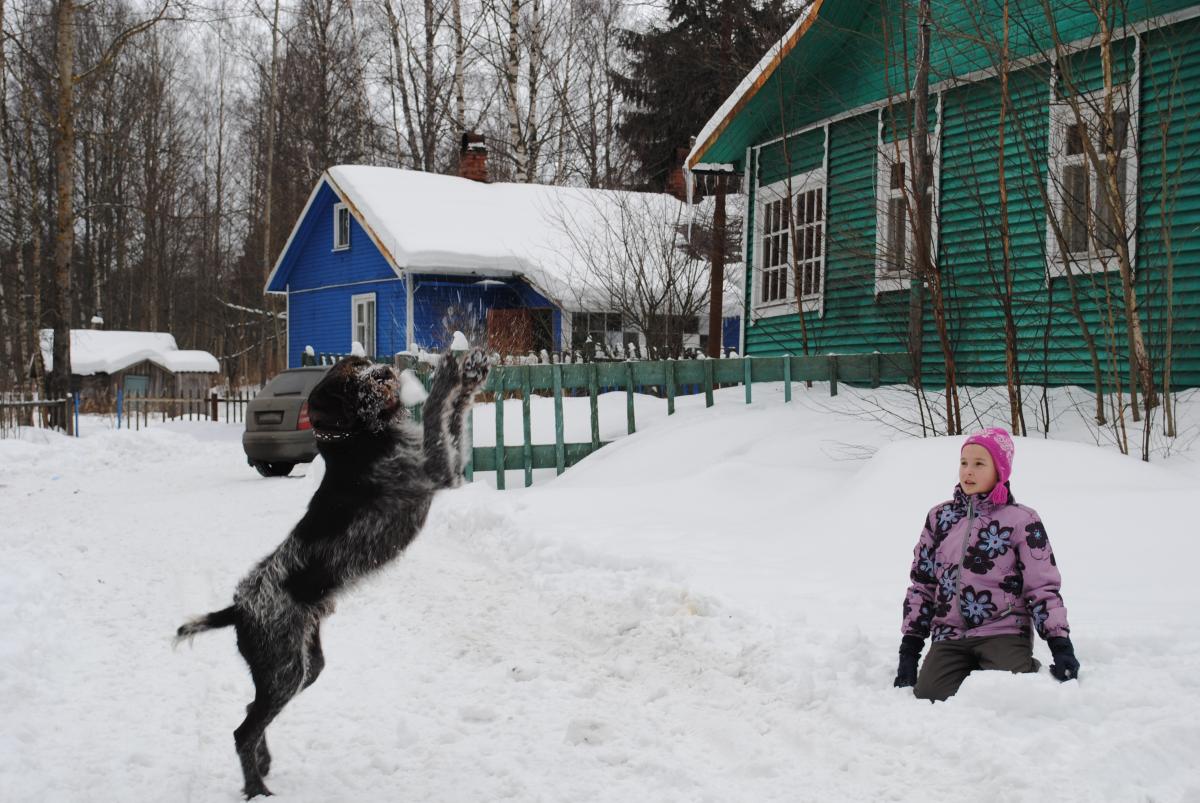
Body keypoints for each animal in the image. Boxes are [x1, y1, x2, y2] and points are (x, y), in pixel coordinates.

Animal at [176, 348, 489, 799]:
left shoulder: (450, 468)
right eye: (349, 381)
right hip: (286, 669)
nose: (382, 372)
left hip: (304, 667)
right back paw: (256, 788)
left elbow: (455, 415)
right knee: (242, 730)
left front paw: (472, 374)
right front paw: (449, 373)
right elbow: (435, 410)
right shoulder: (437, 469)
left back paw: (264, 763)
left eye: (360, 365)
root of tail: (237, 609)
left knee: (253, 710)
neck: (361, 439)